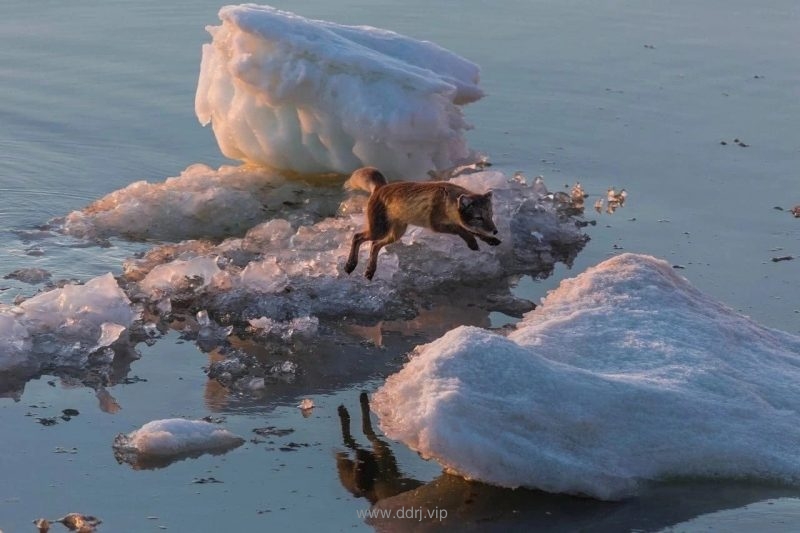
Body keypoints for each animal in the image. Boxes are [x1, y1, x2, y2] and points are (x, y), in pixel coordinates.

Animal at [342, 167, 500, 280]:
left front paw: (490, 240)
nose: (495, 230)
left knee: (375, 245)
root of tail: (380, 187)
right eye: (479, 218)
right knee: (357, 237)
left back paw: (370, 271)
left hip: (396, 234)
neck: (446, 201)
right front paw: (472, 243)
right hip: (379, 230)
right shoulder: (436, 225)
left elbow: (473, 231)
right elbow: (462, 230)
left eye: (491, 216)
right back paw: (350, 265)